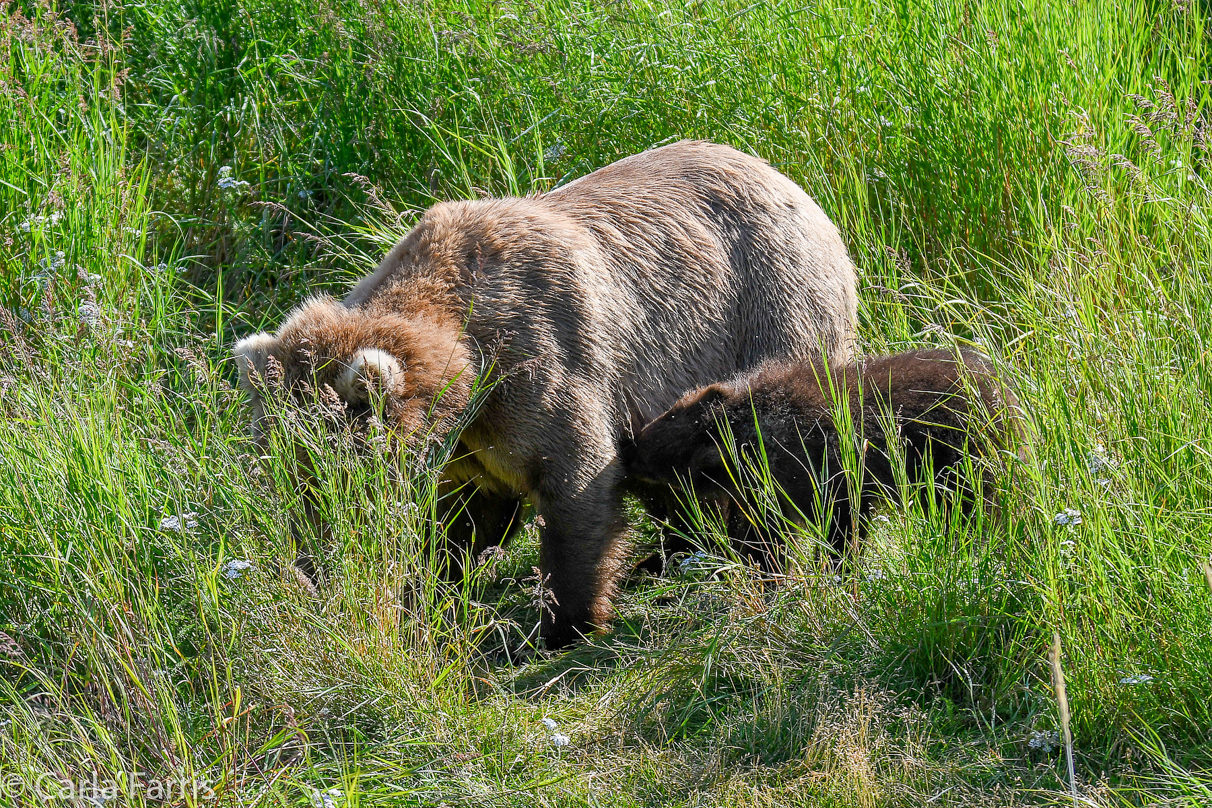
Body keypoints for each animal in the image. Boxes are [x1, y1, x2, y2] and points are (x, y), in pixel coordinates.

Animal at [231, 139, 858, 644]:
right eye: (279, 469)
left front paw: (562, 623)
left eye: (319, 475)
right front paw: (426, 594)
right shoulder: (468, 442)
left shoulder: (545, 361)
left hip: (769, 311)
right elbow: (461, 519)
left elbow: (575, 486)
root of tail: (796, 187)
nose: (311, 565)